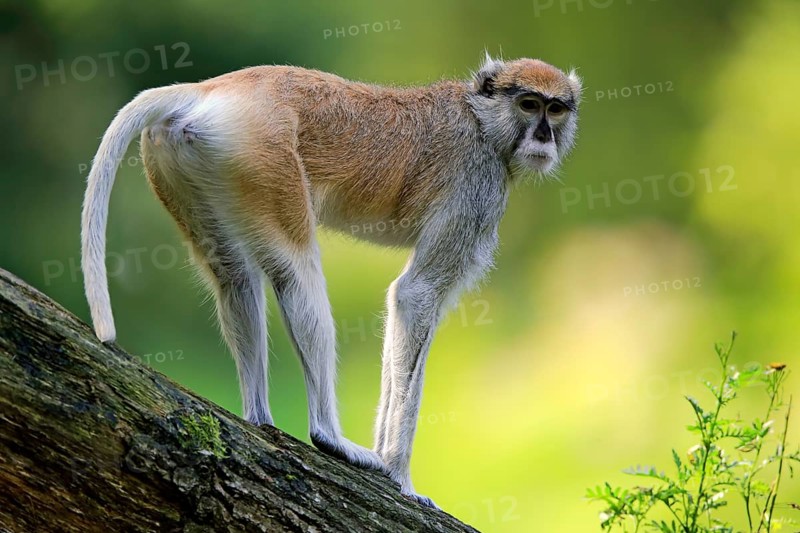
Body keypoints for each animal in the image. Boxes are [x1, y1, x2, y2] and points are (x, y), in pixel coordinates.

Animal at [81, 54, 581, 508]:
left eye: (556, 109)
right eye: (529, 104)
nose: (543, 136)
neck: (482, 121)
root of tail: (211, 89)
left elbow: (405, 311)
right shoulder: (476, 187)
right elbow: (415, 296)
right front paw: (400, 476)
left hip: (189, 160)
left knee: (233, 276)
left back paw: (259, 419)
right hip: (263, 158)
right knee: (295, 269)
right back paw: (329, 437)